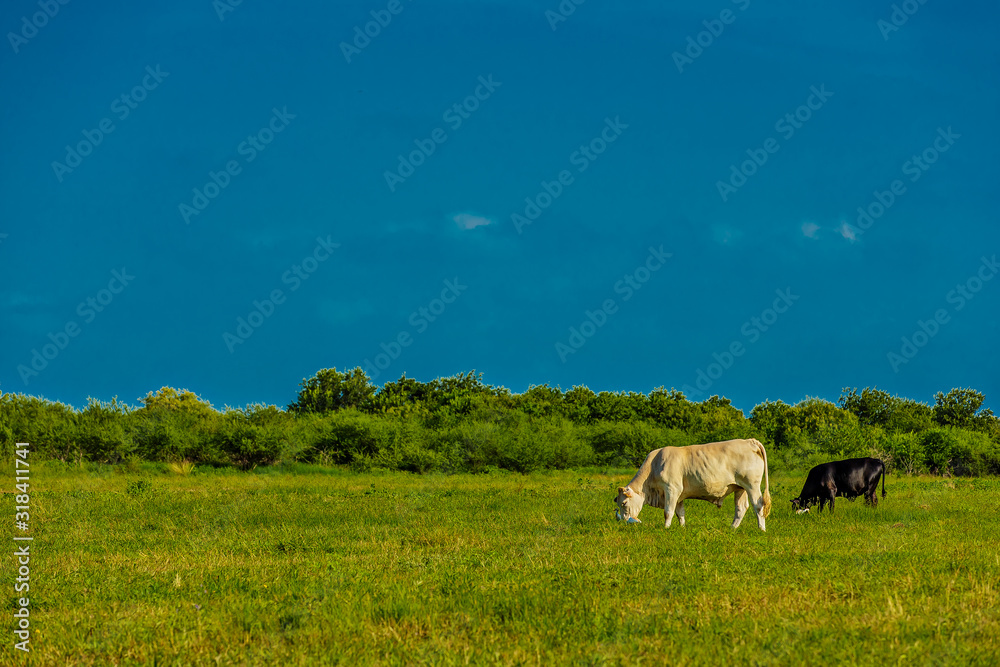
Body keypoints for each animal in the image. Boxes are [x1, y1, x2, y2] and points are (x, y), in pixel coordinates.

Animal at [613, 438, 772, 531]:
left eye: (624, 503)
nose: (625, 522)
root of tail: (749, 441)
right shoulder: (679, 495)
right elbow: (680, 513)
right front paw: (682, 527)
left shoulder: (672, 489)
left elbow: (668, 511)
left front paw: (666, 528)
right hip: (740, 488)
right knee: (741, 508)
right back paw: (732, 528)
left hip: (752, 485)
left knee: (758, 505)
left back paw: (761, 529)